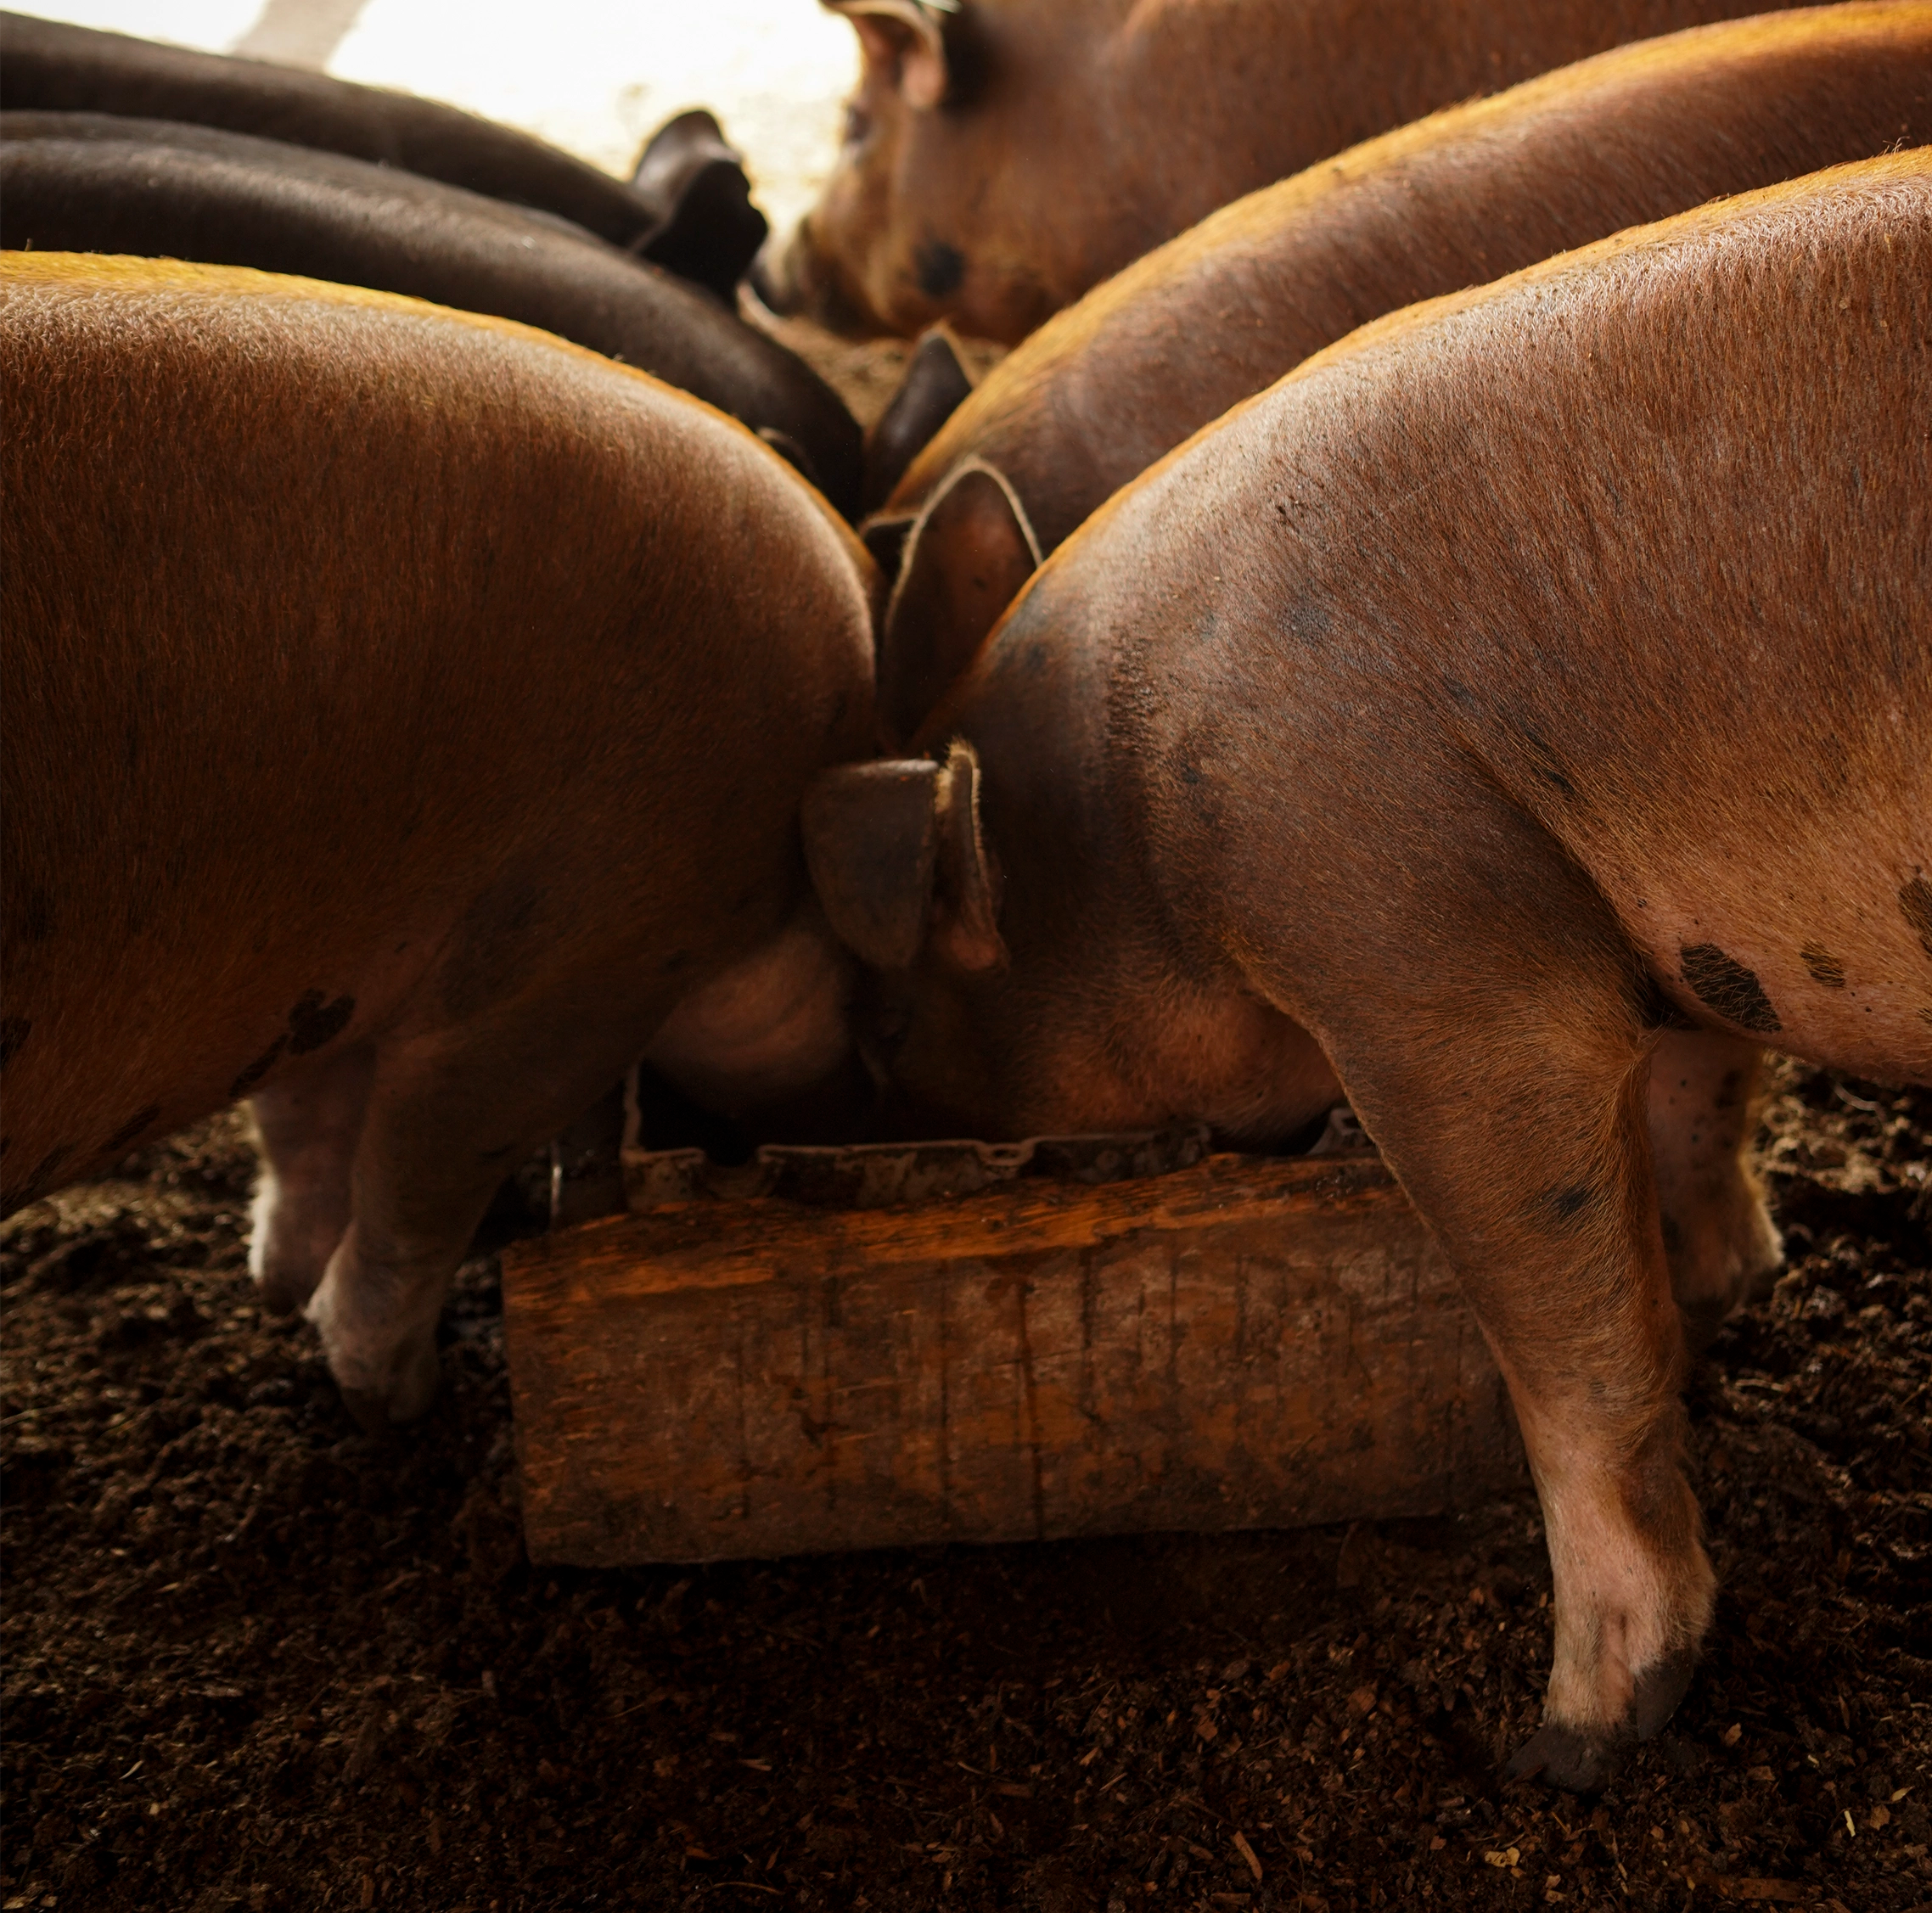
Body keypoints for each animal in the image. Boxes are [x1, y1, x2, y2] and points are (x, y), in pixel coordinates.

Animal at [0, 250, 869, 1422]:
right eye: (867, 999)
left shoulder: (314, 954)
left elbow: (303, 1128)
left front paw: (279, 1289)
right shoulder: (573, 970)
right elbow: (414, 1192)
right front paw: (397, 1397)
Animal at [795, 157, 1932, 1792]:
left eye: (891, 1023)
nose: (839, 1139)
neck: (1134, 841)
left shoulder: (1425, 970)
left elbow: (1572, 1360)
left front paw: (1566, 1746)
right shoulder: (1668, 928)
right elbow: (1697, 1122)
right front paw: (1721, 1294)